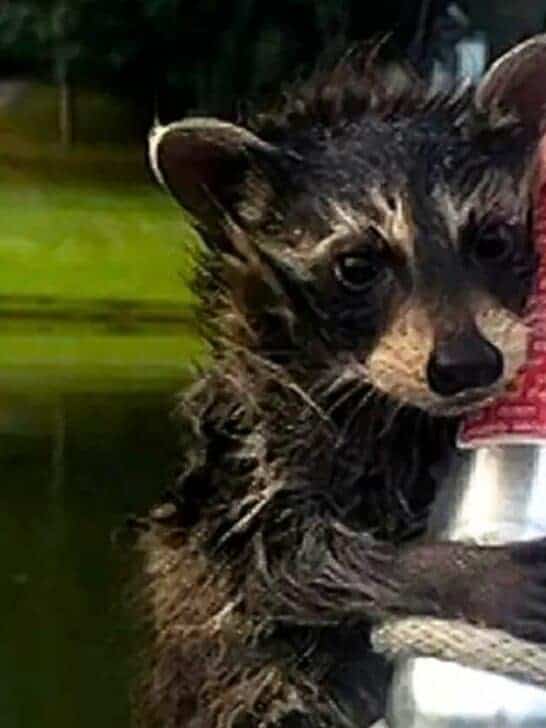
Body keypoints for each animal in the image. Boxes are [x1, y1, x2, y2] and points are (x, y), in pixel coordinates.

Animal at [139, 37, 546, 728]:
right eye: (357, 266)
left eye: (491, 240)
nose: (466, 365)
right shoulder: (245, 463)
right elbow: (286, 565)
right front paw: (448, 571)